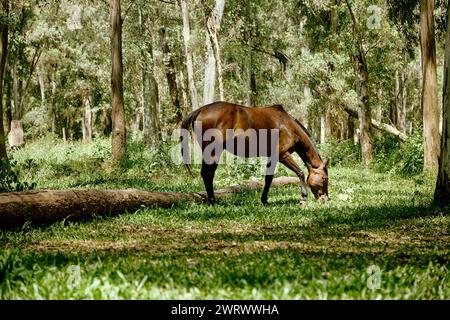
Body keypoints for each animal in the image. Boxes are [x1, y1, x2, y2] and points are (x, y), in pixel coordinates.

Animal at [181, 101, 328, 204]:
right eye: (325, 178)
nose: (325, 199)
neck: (288, 126)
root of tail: (200, 110)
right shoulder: (282, 155)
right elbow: (300, 172)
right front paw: (303, 198)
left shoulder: (272, 157)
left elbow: (268, 178)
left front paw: (264, 200)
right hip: (213, 151)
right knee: (208, 174)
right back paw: (213, 202)